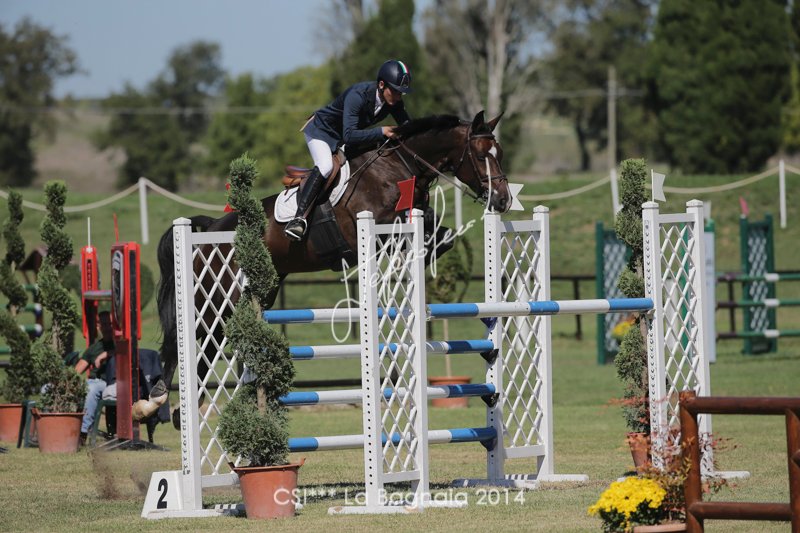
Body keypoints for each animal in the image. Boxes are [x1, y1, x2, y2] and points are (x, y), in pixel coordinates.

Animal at [156, 111, 511, 422]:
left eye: (500, 153)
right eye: (481, 155)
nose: (503, 200)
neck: (397, 166)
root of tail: (212, 226)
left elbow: (440, 233)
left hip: (252, 293)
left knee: (207, 350)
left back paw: (183, 411)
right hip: (216, 298)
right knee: (186, 342)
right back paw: (163, 398)